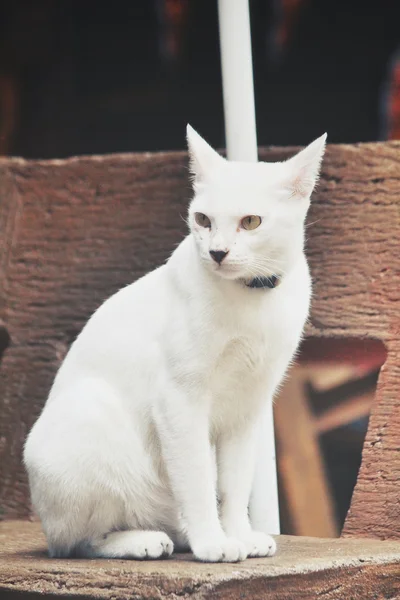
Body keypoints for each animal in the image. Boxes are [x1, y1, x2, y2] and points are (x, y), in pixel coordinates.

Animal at [23, 126, 326, 564]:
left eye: (251, 222)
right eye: (202, 219)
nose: (217, 252)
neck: (251, 299)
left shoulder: (248, 406)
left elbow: (235, 484)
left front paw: (238, 534)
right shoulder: (179, 399)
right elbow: (198, 479)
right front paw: (213, 543)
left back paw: (183, 534)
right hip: (90, 412)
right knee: (78, 542)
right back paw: (144, 540)